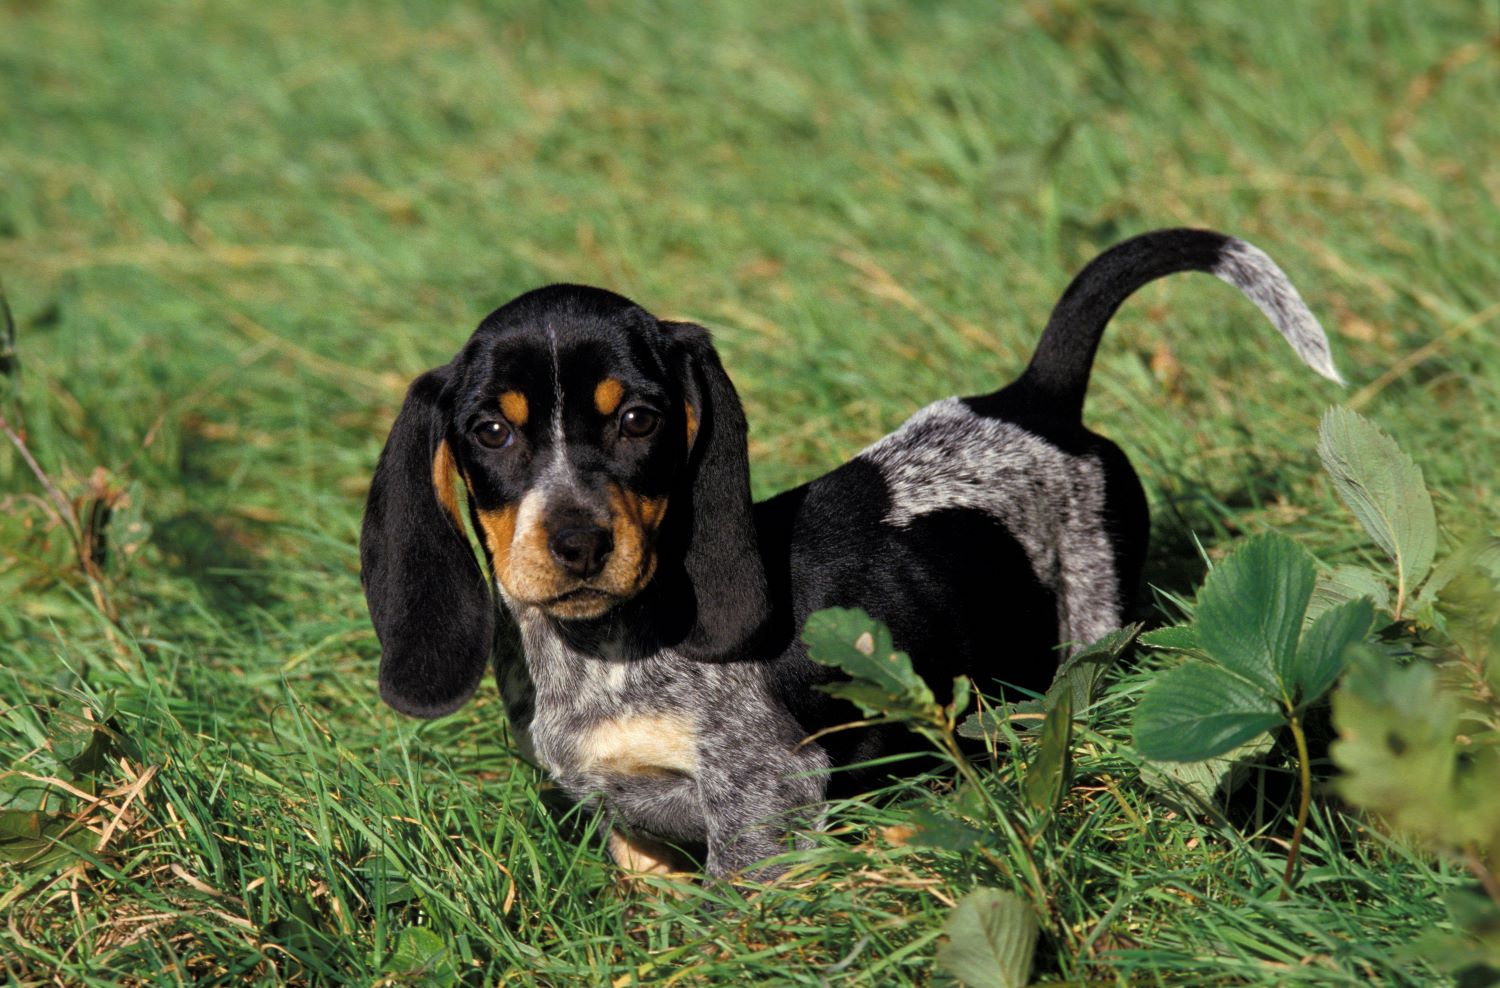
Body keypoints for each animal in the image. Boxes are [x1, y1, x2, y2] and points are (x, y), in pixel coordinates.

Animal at [357, 229, 1344, 881]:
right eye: (490, 431)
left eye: (638, 420)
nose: (577, 543)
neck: (603, 654)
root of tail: (1033, 398)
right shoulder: (635, 836)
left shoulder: (765, 798)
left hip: (1093, 639)